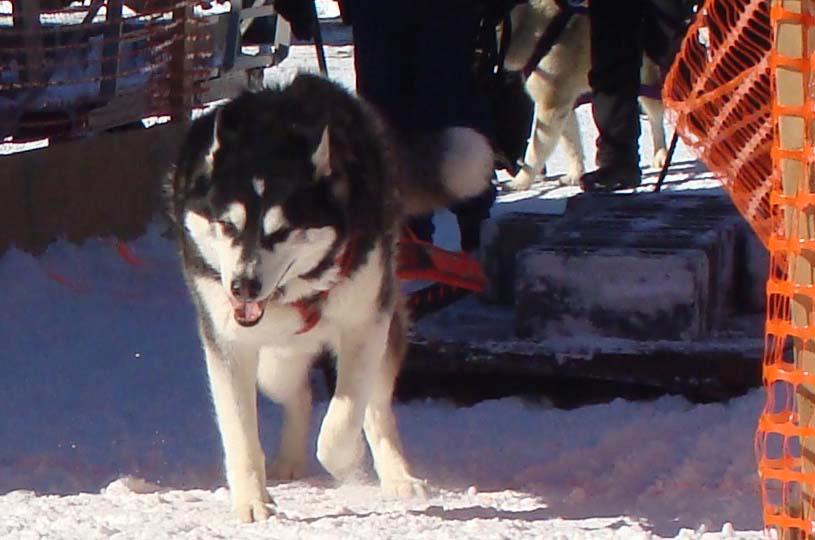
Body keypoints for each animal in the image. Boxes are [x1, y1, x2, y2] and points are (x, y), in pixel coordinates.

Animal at [162, 74, 488, 520]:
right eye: (227, 225)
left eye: (282, 231)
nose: (243, 286)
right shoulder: (228, 342)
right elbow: (240, 432)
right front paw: (251, 501)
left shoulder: (366, 324)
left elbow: (344, 418)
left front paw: (346, 460)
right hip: (273, 364)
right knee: (298, 394)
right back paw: (289, 460)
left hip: (379, 334)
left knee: (375, 408)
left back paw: (397, 476)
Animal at [504, 0, 668, 191]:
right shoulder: (563, 103)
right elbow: (571, 144)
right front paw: (575, 175)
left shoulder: (551, 104)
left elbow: (535, 152)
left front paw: (520, 182)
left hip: (648, 78)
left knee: (657, 118)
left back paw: (662, 154)